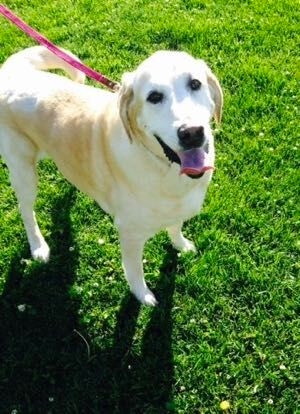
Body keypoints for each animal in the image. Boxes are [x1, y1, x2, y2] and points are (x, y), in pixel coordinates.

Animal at [0, 46, 221, 304]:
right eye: (154, 97)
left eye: (195, 84)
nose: (192, 133)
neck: (164, 168)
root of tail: (13, 72)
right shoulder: (130, 235)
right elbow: (135, 271)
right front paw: (143, 297)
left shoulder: (178, 209)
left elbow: (175, 228)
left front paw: (181, 245)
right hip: (23, 171)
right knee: (26, 211)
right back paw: (38, 246)